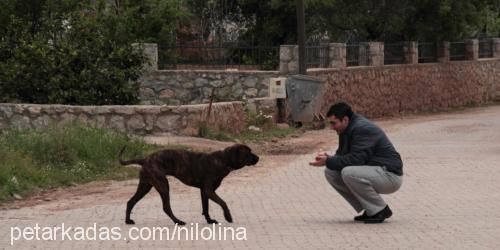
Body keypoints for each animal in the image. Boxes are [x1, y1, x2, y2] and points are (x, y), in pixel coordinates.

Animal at [119, 144, 260, 226]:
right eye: (248, 152)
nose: (258, 157)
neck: (223, 160)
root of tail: (144, 159)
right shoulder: (209, 190)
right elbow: (223, 202)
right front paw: (228, 217)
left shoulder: (204, 191)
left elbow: (206, 208)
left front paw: (209, 221)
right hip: (163, 185)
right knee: (166, 207)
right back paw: (178, 221)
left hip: (145, 186)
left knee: (130, 202)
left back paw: (128, 221)